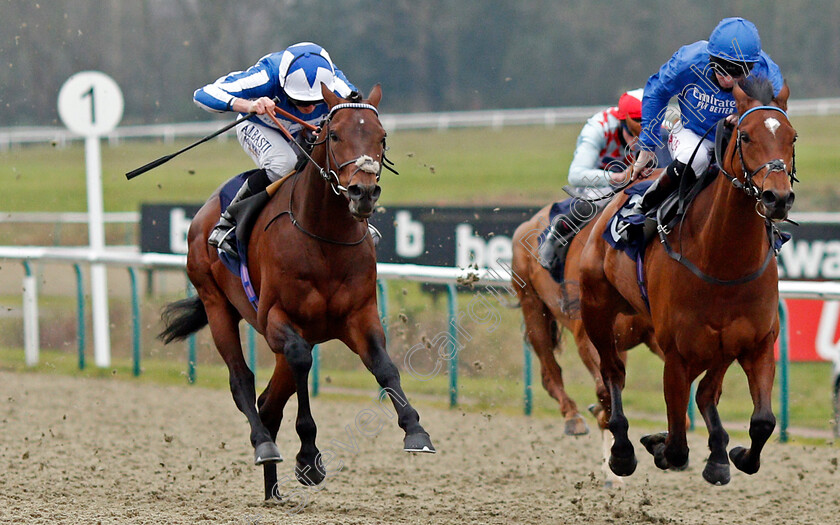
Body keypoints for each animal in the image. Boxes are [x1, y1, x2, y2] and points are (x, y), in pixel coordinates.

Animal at [159, 85, 434, 500]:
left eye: (382, 137)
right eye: (334, 135)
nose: (364, 192)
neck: (324, 238)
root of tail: (203, 213)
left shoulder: (360, 316)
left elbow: (385, 366)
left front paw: (415, 430)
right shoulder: (278, 319)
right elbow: (301, 360)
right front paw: (308, 458)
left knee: (270, 401)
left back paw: (272, 489)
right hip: (217, 304)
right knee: (242, 381)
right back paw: (264, 446)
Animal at [512, 199, 664, 486]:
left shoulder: (653, 335)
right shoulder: (588, 337)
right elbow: (605, 391)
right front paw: (617, 454)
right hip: (532, 305)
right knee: (550, 371)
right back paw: (573, 418)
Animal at [576, 77, 796, 484]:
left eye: (791, 136)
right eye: (745, 136)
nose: (778, 198)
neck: (725, 263)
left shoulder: (758, 342)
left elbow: (763, 422)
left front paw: (734, 454)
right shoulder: (676, 354)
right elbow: (677, 443)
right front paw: (658, 446)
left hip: (719, 345)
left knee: (707, 392)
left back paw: (717, 454)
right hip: (597, 310)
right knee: (613, 374)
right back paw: (622, 451)